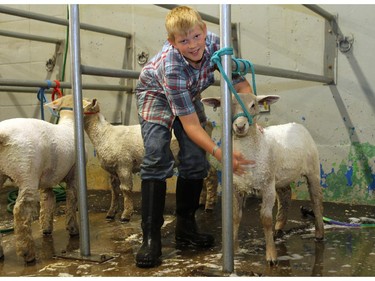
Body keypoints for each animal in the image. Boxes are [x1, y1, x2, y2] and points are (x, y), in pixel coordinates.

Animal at [0, 94, 81, 262]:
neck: (69, 124)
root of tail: (2, 134)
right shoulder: (74, 174)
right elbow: (72, 199)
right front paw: (72, 228)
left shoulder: (47, 178)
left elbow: (48, 201)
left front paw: (46, 228)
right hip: (27, 172)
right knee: (21, 210)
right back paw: (27, 253)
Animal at [203, 92, 326, 264]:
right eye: (228, 105)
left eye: (253, 105)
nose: (240, 126)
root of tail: (296, 124)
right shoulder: (237, 187)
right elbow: (235, 217)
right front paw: (234, 250)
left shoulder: (267, 187)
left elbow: (266, 219)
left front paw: (271, 256)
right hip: (279, 176)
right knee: (286, 194)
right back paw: (279, 226)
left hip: (312, 169)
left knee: (316, 200)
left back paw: (319, 233)